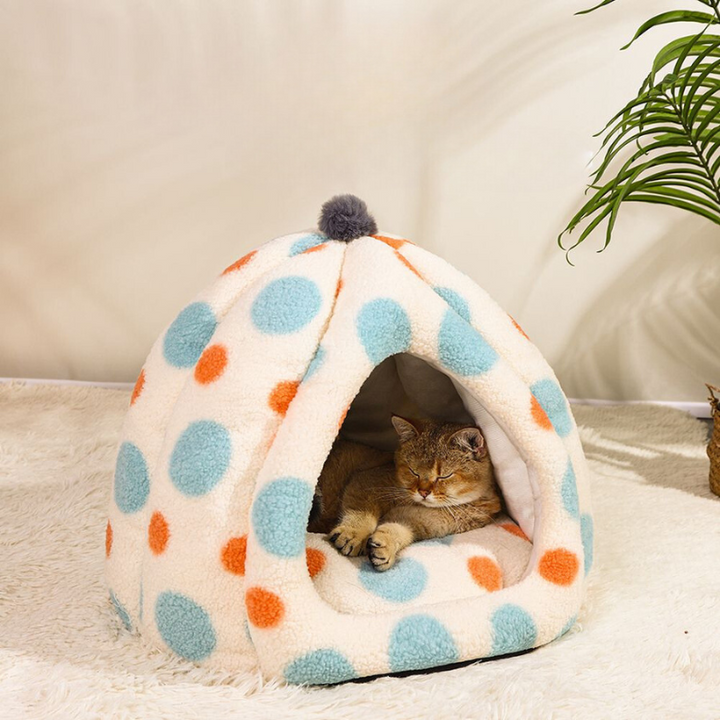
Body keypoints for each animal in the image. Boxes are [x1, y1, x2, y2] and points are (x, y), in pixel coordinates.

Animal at [308, 414, 500, 572]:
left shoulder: (423, 521)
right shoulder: (367, 481)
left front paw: (385, 548)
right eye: (413, 471)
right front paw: (354, 534)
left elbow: (400, 528)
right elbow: (363, 512)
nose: (423, 492)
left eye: (444, 475)